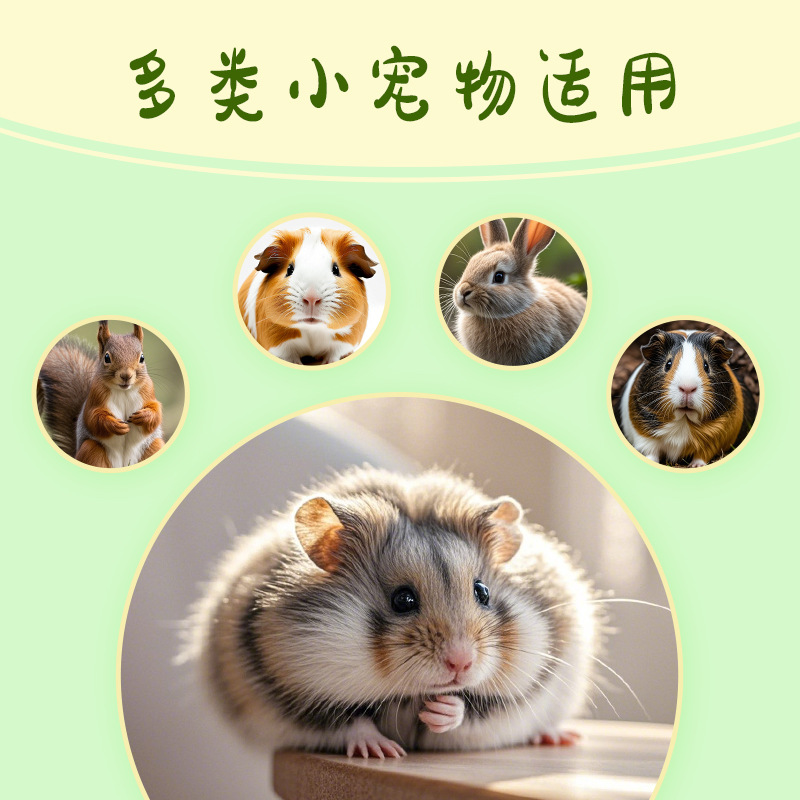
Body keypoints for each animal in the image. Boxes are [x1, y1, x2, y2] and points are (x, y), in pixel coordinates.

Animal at [185, 467, 601, 758]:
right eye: (402, 600)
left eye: (482, 592)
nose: (461, 663)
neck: (409, 696)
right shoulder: (293, 697)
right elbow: (347, 723)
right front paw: (383, 751)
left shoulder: (520, 692)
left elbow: (471, 708)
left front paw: (440, 712)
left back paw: (559, 736)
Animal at [238, 227, 378, 365]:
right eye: (289, 269)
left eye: (336, 269)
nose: (311, 298)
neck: (312, 331)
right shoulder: (278, 342)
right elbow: (289, 356)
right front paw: (298, 363)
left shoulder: (345, 341)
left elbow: (334, 354)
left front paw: (326, 362)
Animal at [619, 329, 756, 467]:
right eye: (668, 364)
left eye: (706, 366)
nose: (687, 388)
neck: (683, 421)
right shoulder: (643, 436)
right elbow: (651, 452)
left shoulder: (715, 439)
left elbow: (702, 455)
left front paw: (696, 466)